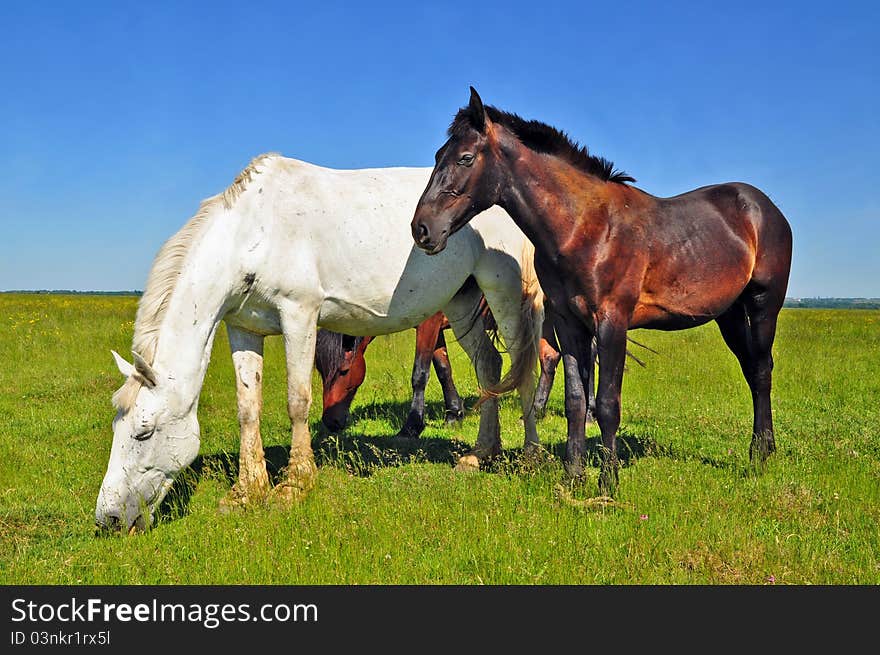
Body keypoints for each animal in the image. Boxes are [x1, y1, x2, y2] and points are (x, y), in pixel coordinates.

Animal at [99, 152, 548, 532]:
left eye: (144, 433)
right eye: (117, 429)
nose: (108, 518)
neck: (253, 230)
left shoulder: (299, 314)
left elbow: (297, 401)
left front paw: (294, 485)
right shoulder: (243, 328)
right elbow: (248, 408)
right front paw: (247, 491)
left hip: (504, 291)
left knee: (522, 366)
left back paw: (530, 455)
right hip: (462, 299)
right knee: (489, 365)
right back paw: (480, 454)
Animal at [410, 88, 792, 498]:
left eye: (465, 157)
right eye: (438, 155)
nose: (422, 228)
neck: (585, 227)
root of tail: (763, 207)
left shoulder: (612, 322)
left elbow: (608, 403)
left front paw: (608, 481)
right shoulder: (569, 323)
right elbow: (576, 400)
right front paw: (573, 475)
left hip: (763, 305)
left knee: (762, 369)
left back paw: (761, 453)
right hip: (729, 314)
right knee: (751, 369)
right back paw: (761, 450)